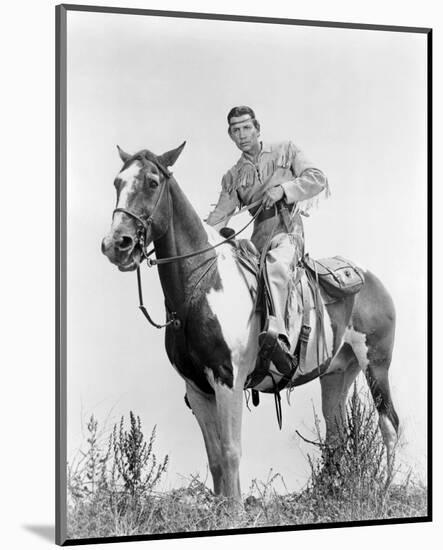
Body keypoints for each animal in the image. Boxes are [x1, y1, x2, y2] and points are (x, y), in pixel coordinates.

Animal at [102, 142, 400, 504]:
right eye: (117, 182)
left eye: (152, 182)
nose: (116, 244)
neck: (202, 287)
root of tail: (370, 278)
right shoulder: (197, 388)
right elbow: (215, 457)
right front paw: (222, 508)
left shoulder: (228, 381)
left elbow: (231, 451)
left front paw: (236, 511)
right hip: (337, 373)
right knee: (336, 433)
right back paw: (331, 494)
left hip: (377, 364)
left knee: (389, 424)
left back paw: (383, 492)